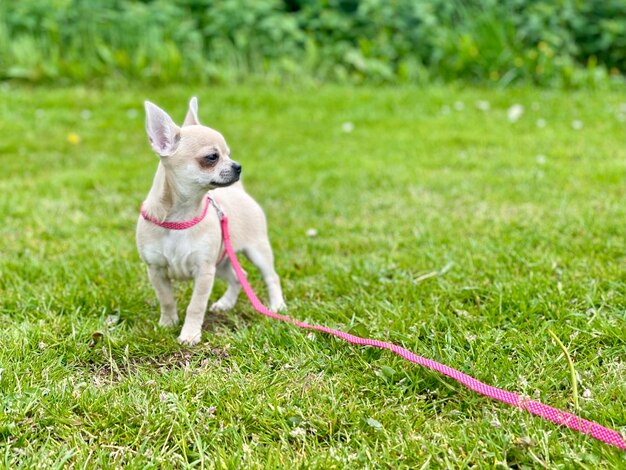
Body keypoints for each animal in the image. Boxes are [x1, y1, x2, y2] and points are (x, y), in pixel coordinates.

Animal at [136, 96, 286, 346]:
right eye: (212, 157)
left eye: (229, 153)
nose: (238, 166)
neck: (181, 217)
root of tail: (240, 191)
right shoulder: (156, 270)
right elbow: (166, 299)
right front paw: (167, 324)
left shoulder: (204, 271)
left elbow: (195, 306)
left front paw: (189, 334)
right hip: (223, 260)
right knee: (239, 277)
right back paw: (226, 303)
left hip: (256, 251)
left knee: (270, 276)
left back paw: (277, 305)